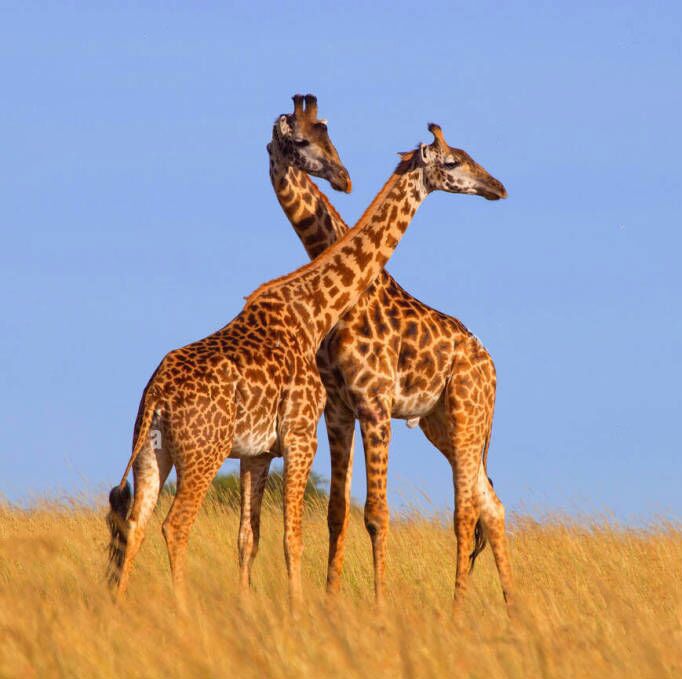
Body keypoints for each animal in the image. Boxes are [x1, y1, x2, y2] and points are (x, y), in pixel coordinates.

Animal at [256, 94, 510, 604]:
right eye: (303, 138)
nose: (497, 186)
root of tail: (490, 365)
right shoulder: (339, 406)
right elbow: (338, 512)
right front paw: (332, 602)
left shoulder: (374, 403)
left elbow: (376, 513)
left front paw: (378, 605)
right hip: (443, 424)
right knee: (490, 506)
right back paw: (515, 607)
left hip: (468, 417)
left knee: (467, 513)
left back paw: (460, 607)